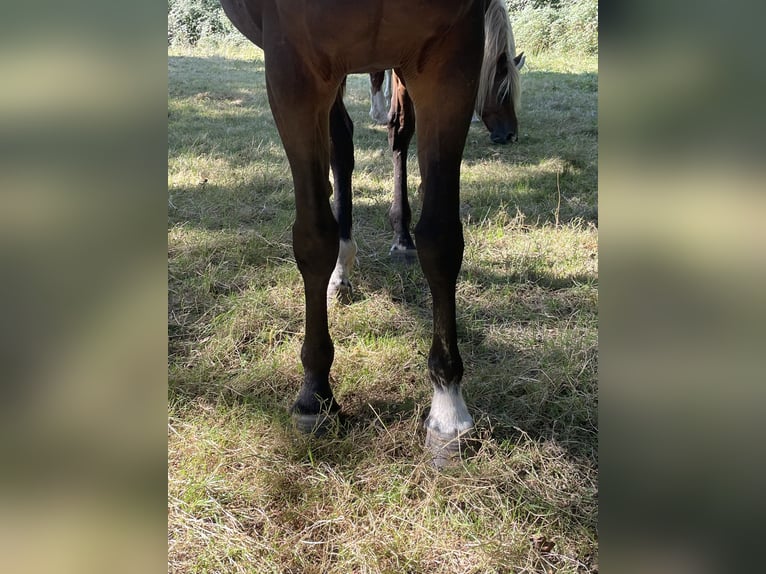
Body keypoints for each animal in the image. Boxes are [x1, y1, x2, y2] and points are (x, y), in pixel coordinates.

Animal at [219, 0, 488, 468]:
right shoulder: (294, 67)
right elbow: (313, 238)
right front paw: (314, 394)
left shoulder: (453, 56)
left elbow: (441, 240)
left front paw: (448, 406)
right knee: (340, 141)